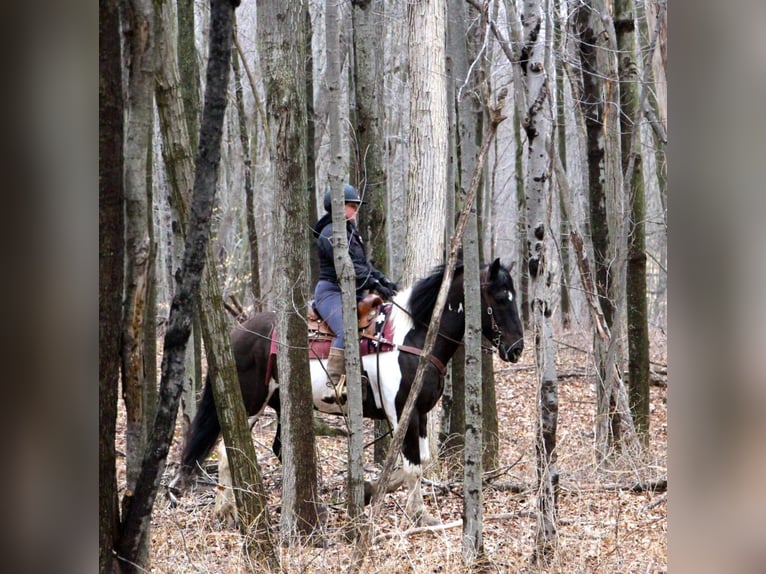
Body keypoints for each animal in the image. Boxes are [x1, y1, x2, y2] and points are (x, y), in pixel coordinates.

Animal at [171, 258, 524, 528]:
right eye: (500, 297)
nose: (517, 349)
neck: (415, 337)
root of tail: (236, 334)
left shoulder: (420, 412)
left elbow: (419, 461)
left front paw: (370, 490)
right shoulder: (402, 412)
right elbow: (412, 465)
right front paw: (418, 514)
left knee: (278, 449)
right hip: (249, 404)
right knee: (229, 452)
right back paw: (227, 512)